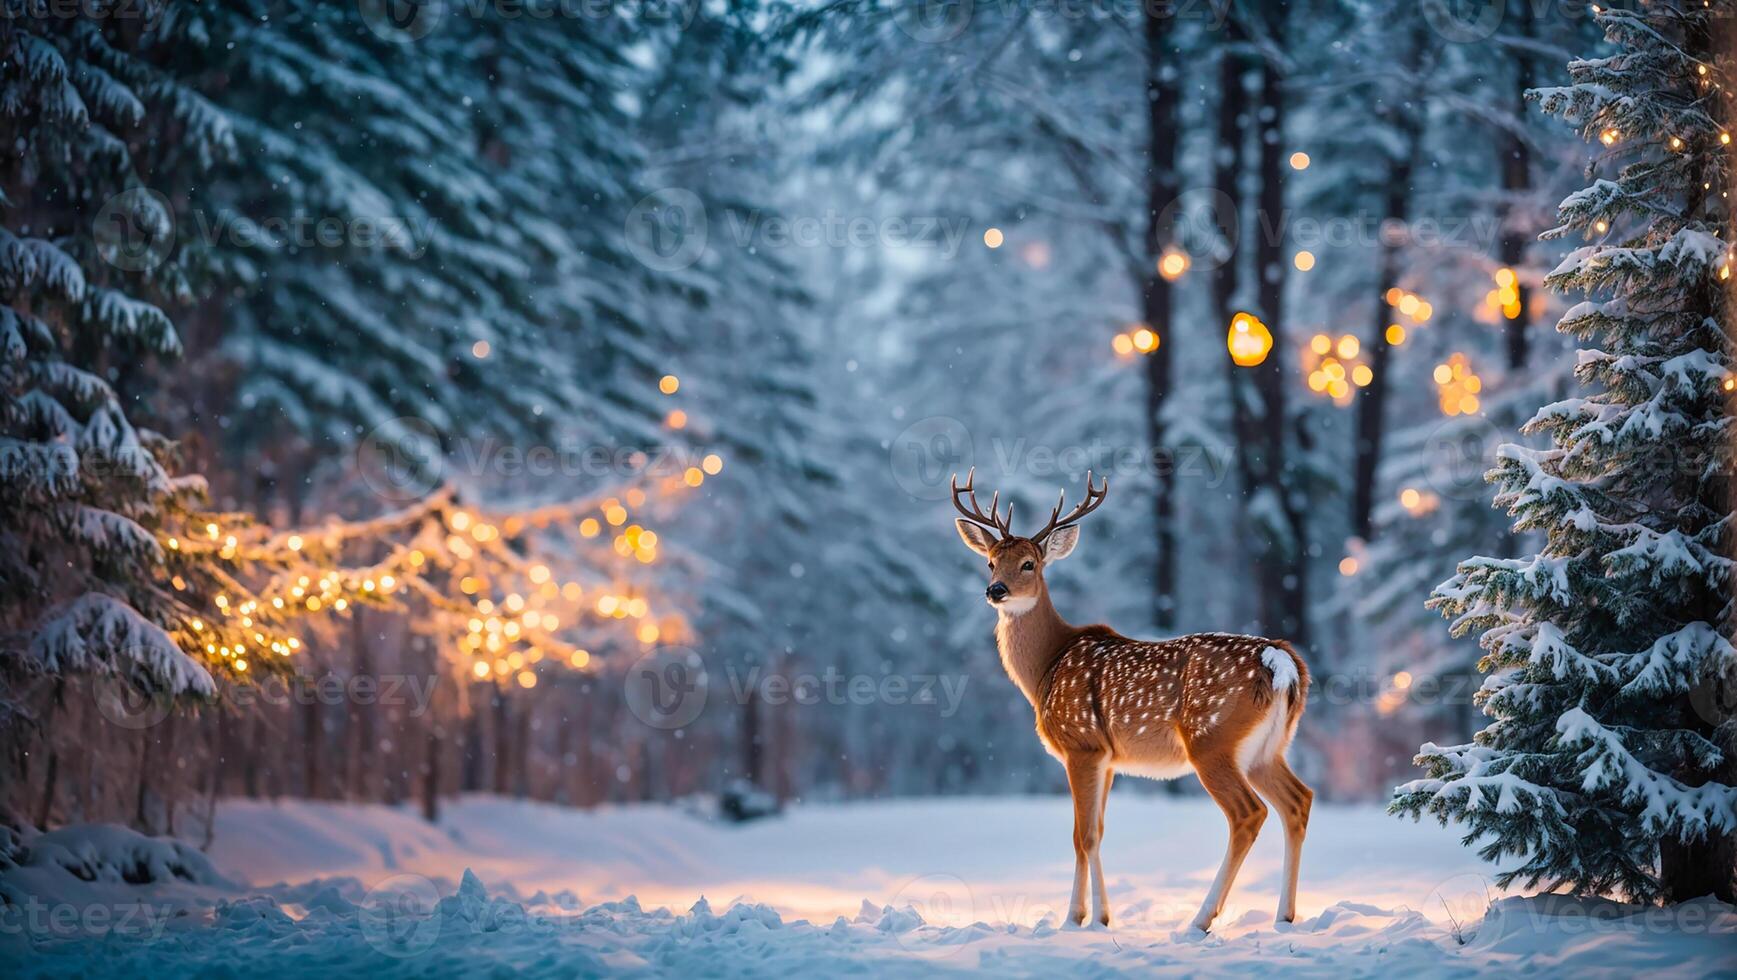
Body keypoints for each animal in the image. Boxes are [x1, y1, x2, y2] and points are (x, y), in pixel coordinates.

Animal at [951, 469, 1313, 931]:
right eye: (991, 560)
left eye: (1029, 563)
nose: (995, 590)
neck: (1047, 666)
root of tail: (1281, 660)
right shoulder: (1107, 758)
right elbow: (1096, 833)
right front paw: (1099, 916)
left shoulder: (1081, 744)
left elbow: (1082, 835)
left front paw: (1078, 919)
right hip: (1269, 748)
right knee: (1298, 801)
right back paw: (1284, 916)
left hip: (1211, 739)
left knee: (1249, 814)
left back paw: (1200, 920)